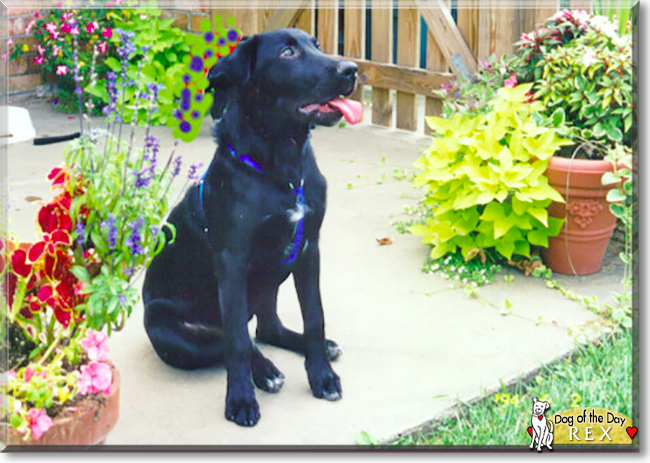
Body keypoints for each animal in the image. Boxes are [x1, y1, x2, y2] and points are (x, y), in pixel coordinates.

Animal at [141, 28, 360, 428]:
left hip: (271, 281)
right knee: (233, 338)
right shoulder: (232, 262)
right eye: (288, 52)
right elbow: (237, 342)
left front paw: (322, 376)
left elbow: (315, 317)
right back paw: (265, 370)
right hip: (172, 330)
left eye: (317, 46)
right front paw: (241, 400)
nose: (351, 70)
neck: (283, 168)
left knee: (266, 328)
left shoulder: (309, 249)